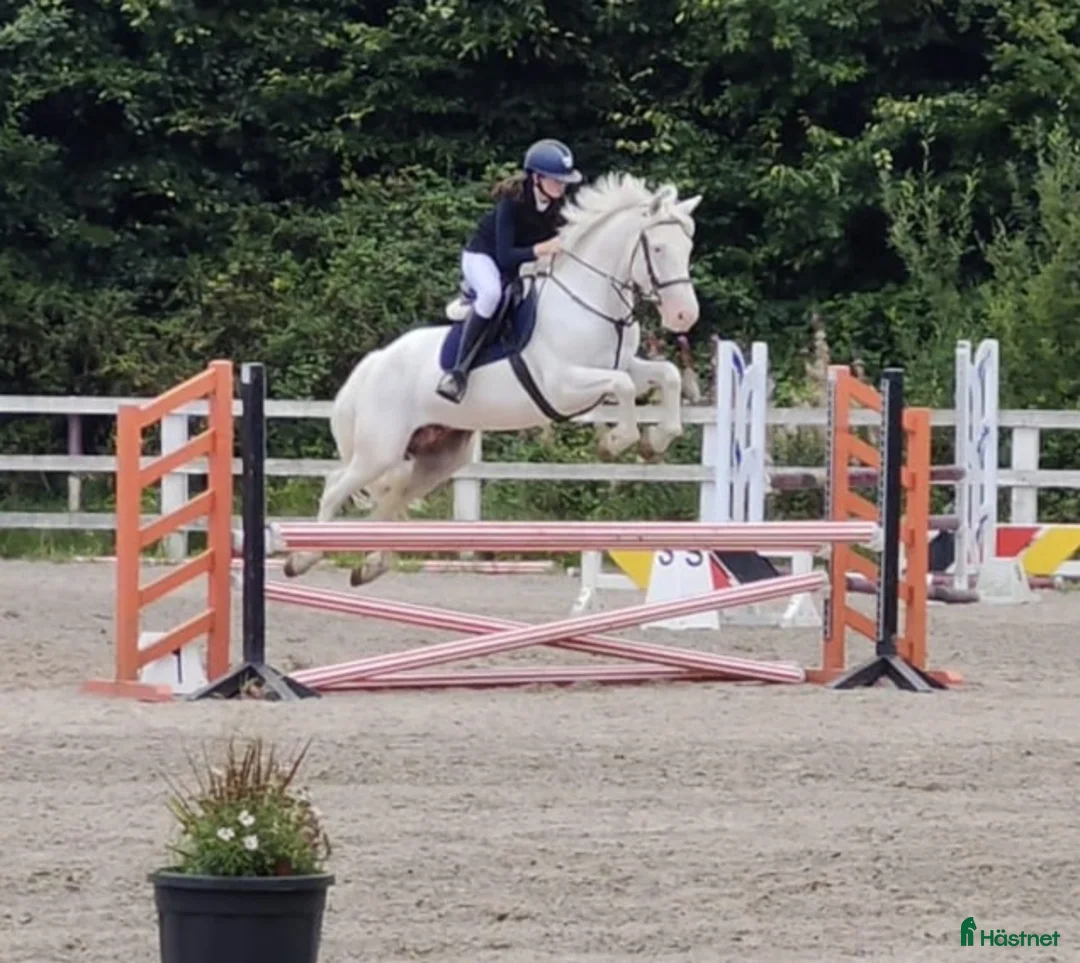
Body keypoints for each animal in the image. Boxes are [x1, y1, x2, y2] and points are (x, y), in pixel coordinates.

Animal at [282, 171, 703, 586]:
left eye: (688, 247)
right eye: (658, 249)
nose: (685, 317)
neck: (590, 301)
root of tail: (371, 366)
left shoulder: (624, 364)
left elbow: (666, 376)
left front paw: (655, 441)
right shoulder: (562, 385)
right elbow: (624, 387)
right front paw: (615, 443)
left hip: (438, 457)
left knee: (393, 496)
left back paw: (372, 565)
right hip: (379, 450)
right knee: (334, 486)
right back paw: (303, 558)